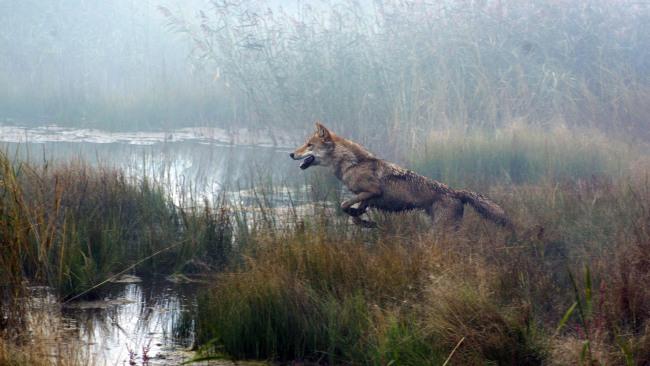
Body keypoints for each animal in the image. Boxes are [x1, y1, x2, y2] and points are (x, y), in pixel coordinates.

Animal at [290, 123, 512, 229]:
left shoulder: (373, 191)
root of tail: (456, 192)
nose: (291, 154)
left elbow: (344, 204)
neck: (352, 164)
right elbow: (356, 212)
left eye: (308, 145)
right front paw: (365, 222)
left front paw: (360, 217)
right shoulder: (369, 197)